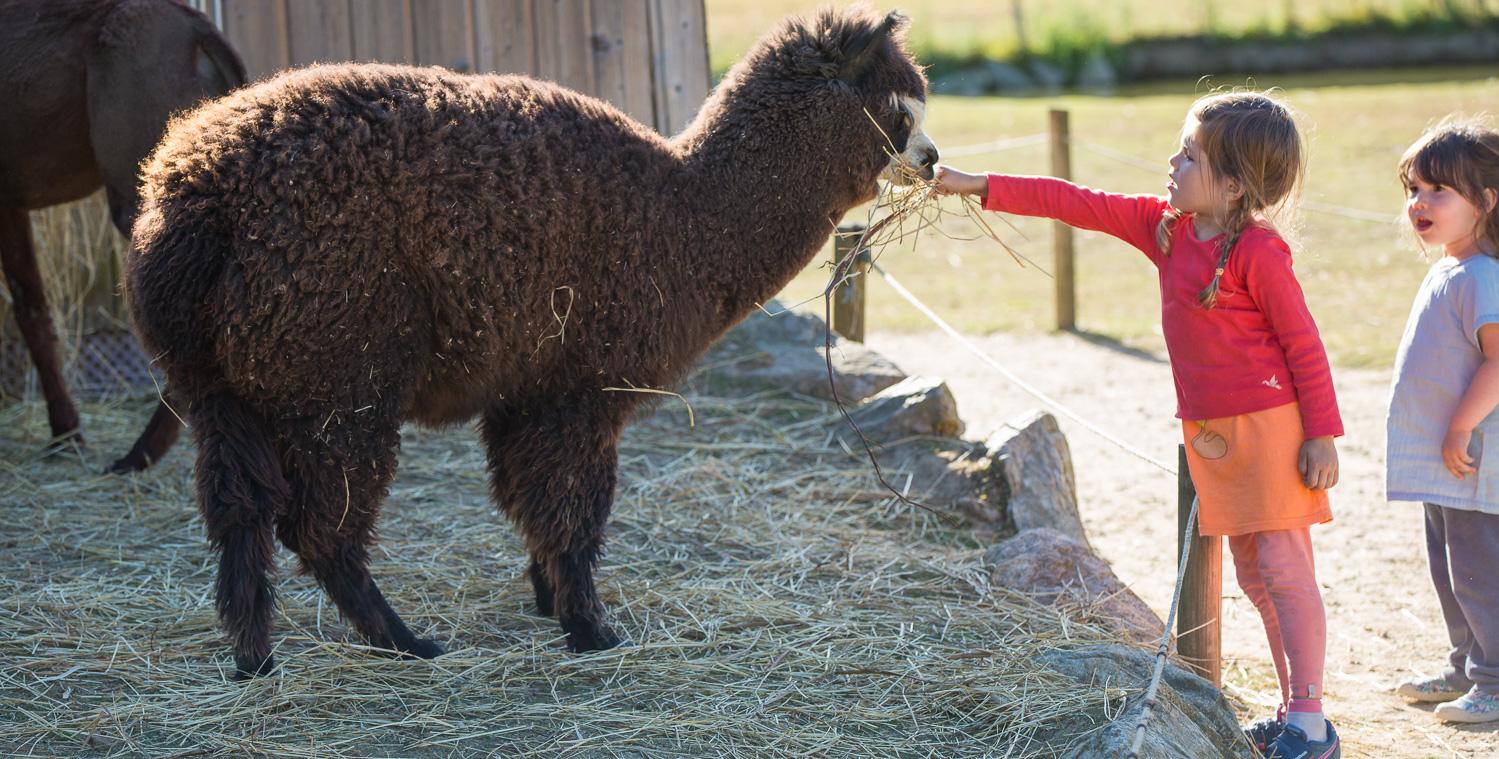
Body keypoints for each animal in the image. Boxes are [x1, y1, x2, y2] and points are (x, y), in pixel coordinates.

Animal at [0, 0, 244, 471]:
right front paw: (66, 436)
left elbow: (29, 311)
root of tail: (199, 30)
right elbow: (34, 312)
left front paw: (68, 436)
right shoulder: (12, 199)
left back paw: (140, 454)